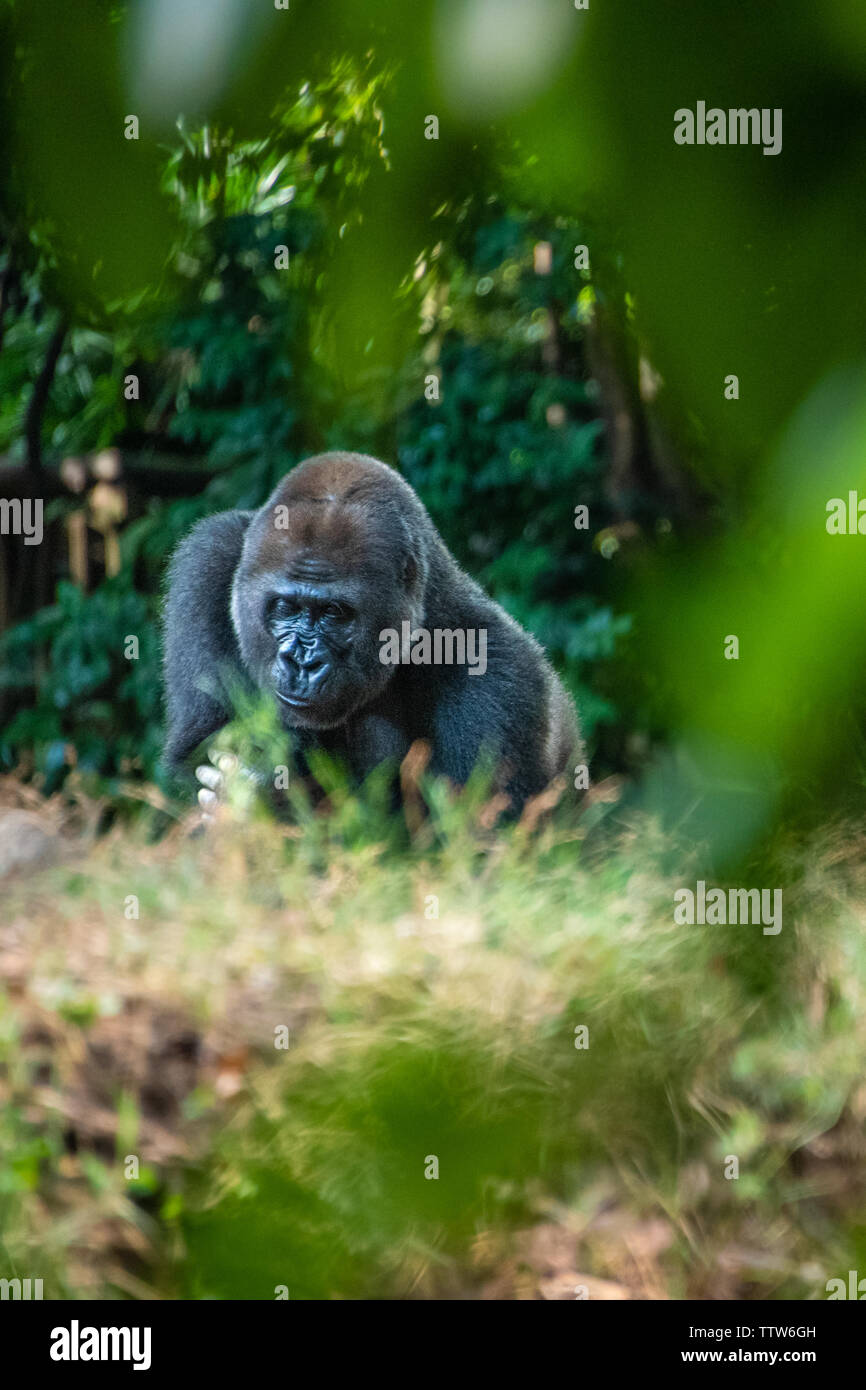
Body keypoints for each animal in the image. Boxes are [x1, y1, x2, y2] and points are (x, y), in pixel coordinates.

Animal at [162, 450, 583, 811]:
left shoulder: (500, 673)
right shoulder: (209, 557)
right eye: (285, 608)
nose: (302, 662)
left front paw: (265, 792)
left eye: (335, 612)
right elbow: (200, 742)